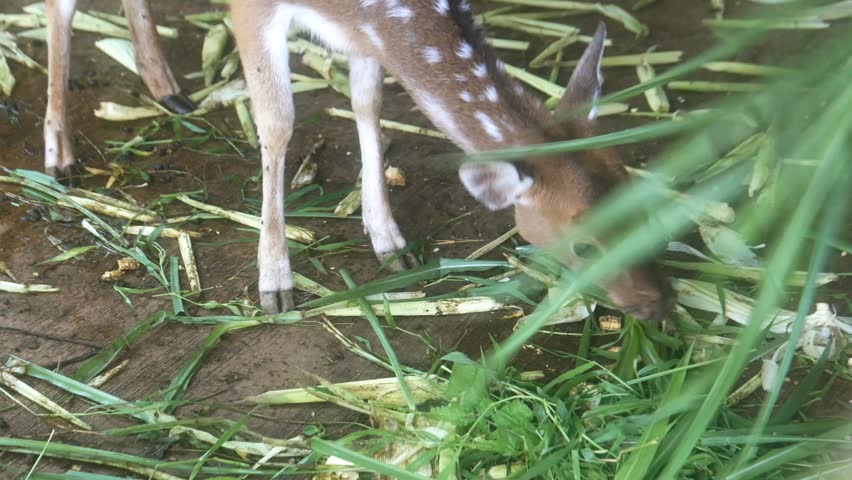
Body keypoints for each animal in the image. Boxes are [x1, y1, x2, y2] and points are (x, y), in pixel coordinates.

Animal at [228, 0, 675, 320]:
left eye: (646, 208)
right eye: (583, 246)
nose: (658, 306)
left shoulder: (364, 36)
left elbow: (368, 103)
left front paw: (390, 242)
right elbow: (278, 122)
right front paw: (275, 283)